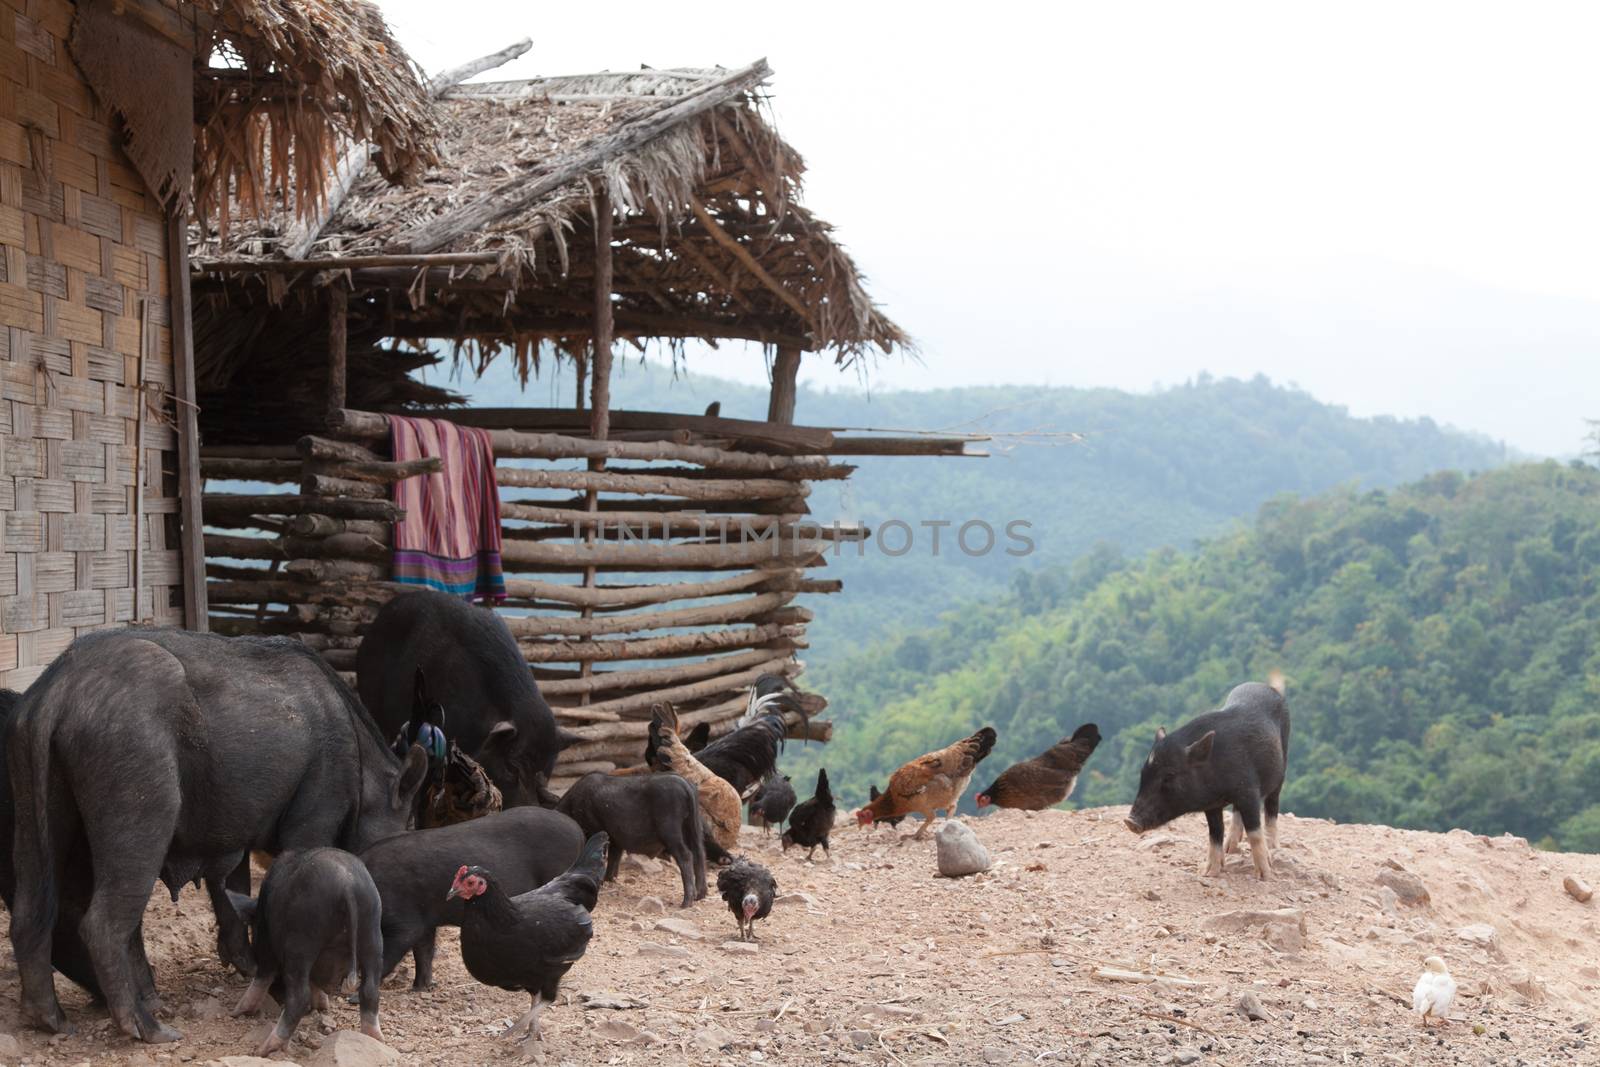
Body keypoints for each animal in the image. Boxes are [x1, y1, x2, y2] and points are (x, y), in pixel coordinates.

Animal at [232, 857, 387, 1055]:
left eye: (254, 929)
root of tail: (347, 886)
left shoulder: (266, 937)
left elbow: (264, 974)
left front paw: (236, 1013)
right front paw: (322, 1007)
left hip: (301, 940)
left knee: (299, 996)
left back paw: (263, 1050)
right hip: (372, 934)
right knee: (370, 989)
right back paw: (375, 1039)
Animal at [556, 767, 707, 908]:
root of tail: (685, 784)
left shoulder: (595, 830)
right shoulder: (615, 839)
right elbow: (614, 858)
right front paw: (609, 880)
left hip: (670, 830)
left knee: (686, 855)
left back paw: (686, 903)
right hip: (693, 828)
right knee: (699, 854)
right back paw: (700, 896)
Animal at [1126, 681, 1286, 883]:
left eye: (1169, 775)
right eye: (1144, 773)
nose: (1129, 821)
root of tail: (1263, 684)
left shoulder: (1248, 791)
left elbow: (1255, 833)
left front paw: (1265, 876)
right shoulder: (1212, 805)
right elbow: (1214, 833)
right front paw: (1208, 873)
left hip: (1282, 767)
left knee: (1272, 805)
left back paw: (1273, 847)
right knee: (1236, 814)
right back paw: (1230, 849)